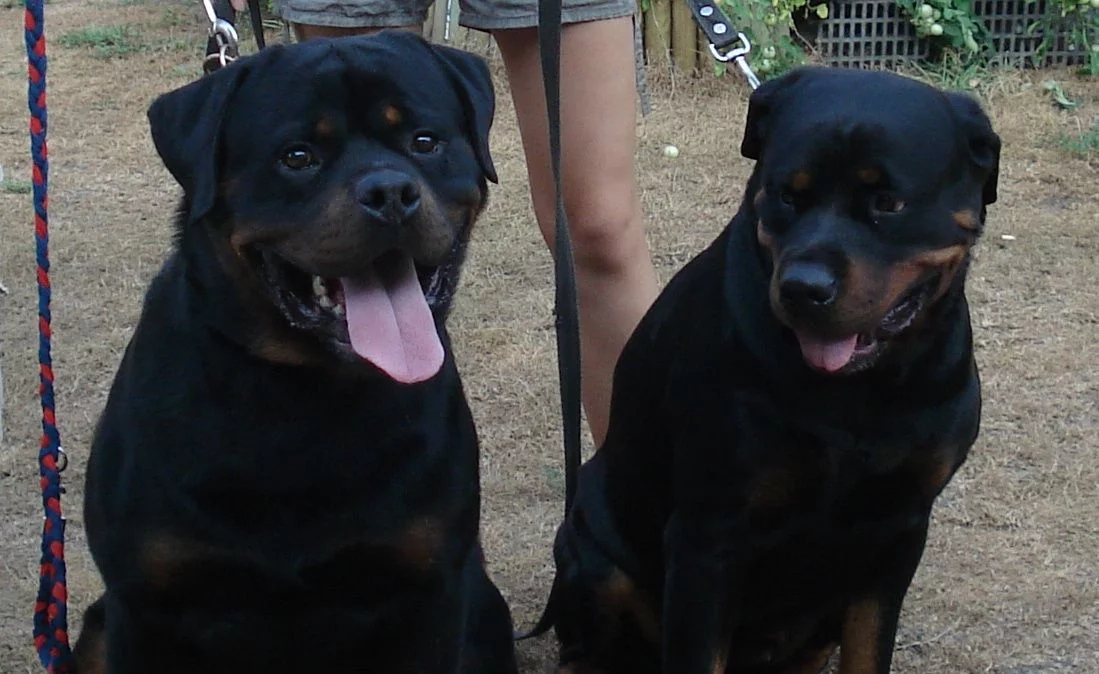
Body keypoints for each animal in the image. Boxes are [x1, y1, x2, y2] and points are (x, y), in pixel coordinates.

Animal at [71, 32, 517, 674]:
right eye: (298, 156)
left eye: (424, 142)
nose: (390, 192)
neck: (305, 394)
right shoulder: (142, 607)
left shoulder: (431, 593)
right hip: (98, 628)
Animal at [543, 67, 1000, 673]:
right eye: (788, 194)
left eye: (888, 202)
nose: (804, 287)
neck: (860, 393)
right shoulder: (709, 535)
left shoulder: (900, 528)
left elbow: (867, 650)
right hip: (592, 554)